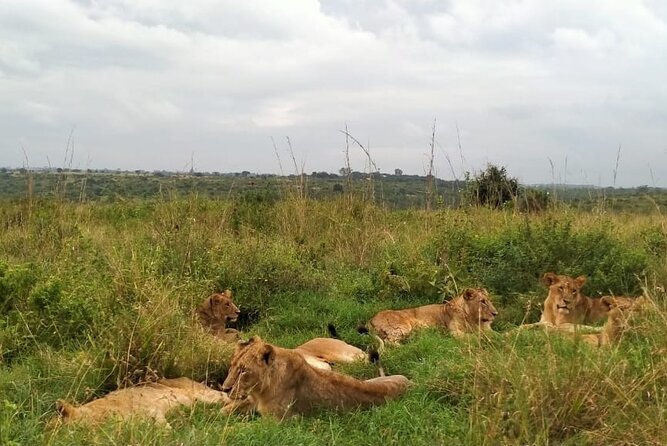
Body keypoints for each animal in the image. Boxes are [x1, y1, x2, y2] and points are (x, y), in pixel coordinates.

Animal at [222, 336, 410, 420]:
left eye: (243, 371)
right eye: (231, 367)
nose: (224, 389)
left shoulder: (278, 423)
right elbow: (227, 409)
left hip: (347, 357)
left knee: (367, 356)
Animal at [362, 286, 498, 344]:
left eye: (489, 300)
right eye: (482, 301)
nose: (495, 313)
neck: (475, 319)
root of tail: (370, 319)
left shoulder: (487, 329)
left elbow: (497, 334)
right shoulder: (454, 332)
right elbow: (474, 337)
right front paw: (485, 339)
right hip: (402, 327)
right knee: (389, 342)